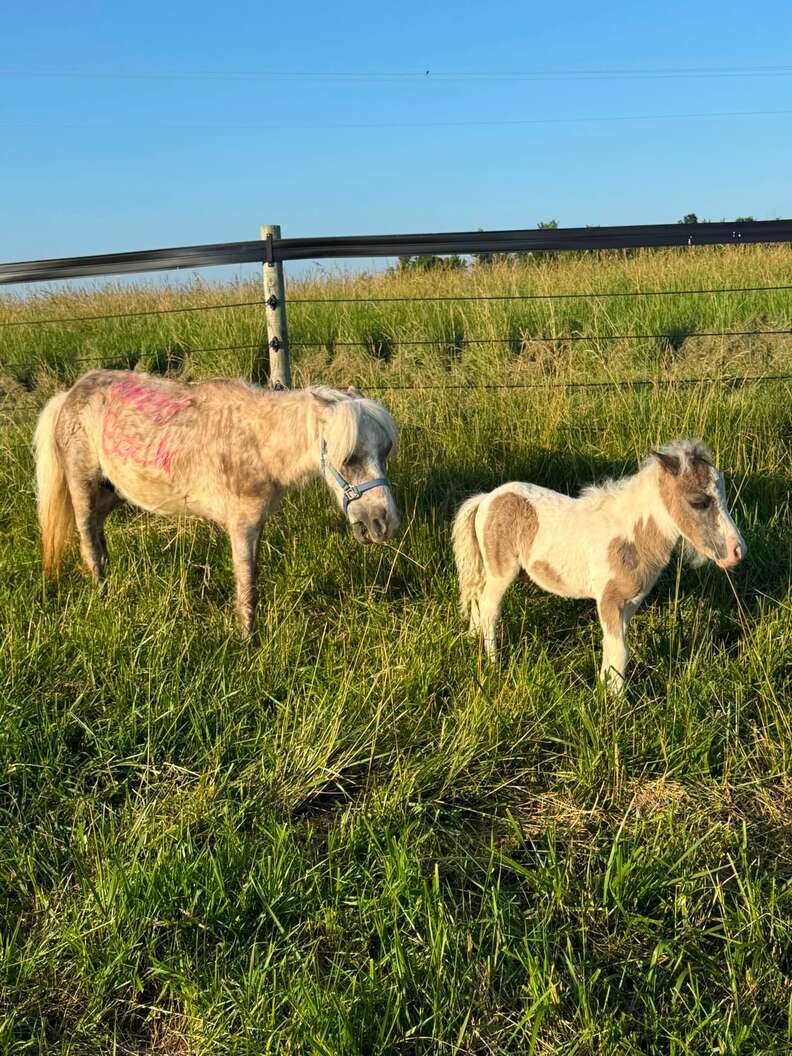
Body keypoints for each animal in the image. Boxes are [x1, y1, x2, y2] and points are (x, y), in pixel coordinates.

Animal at [34, 370, 400, 635]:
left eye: (385, 452)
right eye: (348, 458)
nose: (384, 523)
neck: (259, 443)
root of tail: (69, 394)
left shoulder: (256, 523)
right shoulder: (242, 524)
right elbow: (247, 585)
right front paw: (249, 640)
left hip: (113, 491)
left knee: (97, 529)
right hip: (82, 487)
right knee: (87, 539)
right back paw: (102, 593)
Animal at [452, 439, 746, 692]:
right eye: (698, 502)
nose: (737, 551)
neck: (630, 537)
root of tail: (487, 498)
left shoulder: (631, 602)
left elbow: (614, 647)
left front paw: (607, 688)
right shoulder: (608, 599)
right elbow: (619, 651)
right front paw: (614, 703)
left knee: (477, 603)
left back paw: (472, 641)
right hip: (501, 573)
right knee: (489, 611)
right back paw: (493, 665)